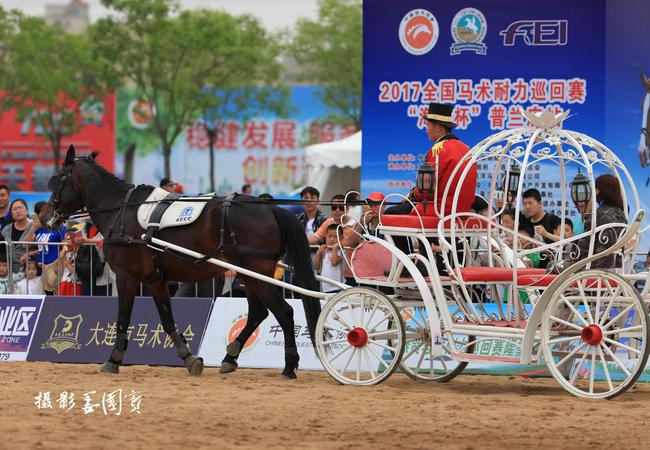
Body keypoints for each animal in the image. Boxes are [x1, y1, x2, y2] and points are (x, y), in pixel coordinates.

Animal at [38, 145, 321, 379]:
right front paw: (188, 358)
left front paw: (113, 359)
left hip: (255, 274)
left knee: (284, 313)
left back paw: (288, 366)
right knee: (258, 312)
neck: (121, 210)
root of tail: (270, 207)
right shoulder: (155, 280)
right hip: (250, 275)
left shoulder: (126, 277)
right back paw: (230, 357)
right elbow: (167, 320)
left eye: (58, 179)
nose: (43, 216)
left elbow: (123, 318)